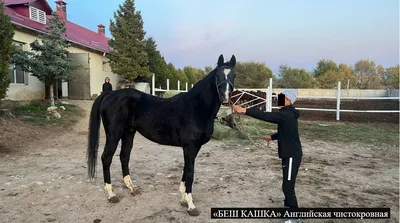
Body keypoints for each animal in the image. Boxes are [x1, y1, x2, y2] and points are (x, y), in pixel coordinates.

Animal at [87, 54, 236, 216]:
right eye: (217, 75)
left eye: (234, 75)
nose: (225, 97)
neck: (196, 108)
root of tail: (109, 94)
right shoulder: (190, 146)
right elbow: (190, 173)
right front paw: (191, 205)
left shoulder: (193, 148)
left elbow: (185, 170)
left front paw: (183, 199)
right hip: (114, 135)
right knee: (106, 158)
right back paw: (111, 194)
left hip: (128, 133)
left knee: (124, 156)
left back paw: (132, 188)